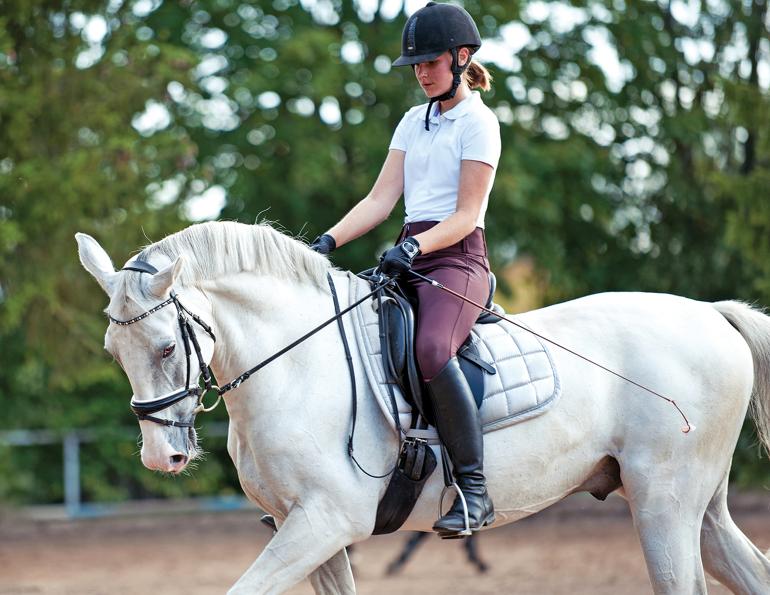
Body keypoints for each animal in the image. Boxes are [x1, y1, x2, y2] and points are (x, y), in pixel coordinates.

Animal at [76, 220, 770, 594]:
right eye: (112, 351)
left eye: (167, 346)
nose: (161, 457)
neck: (295, 366)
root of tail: (711, 314)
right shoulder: (306, 530)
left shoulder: (324, 522)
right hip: (696, 507)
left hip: (663, 503)